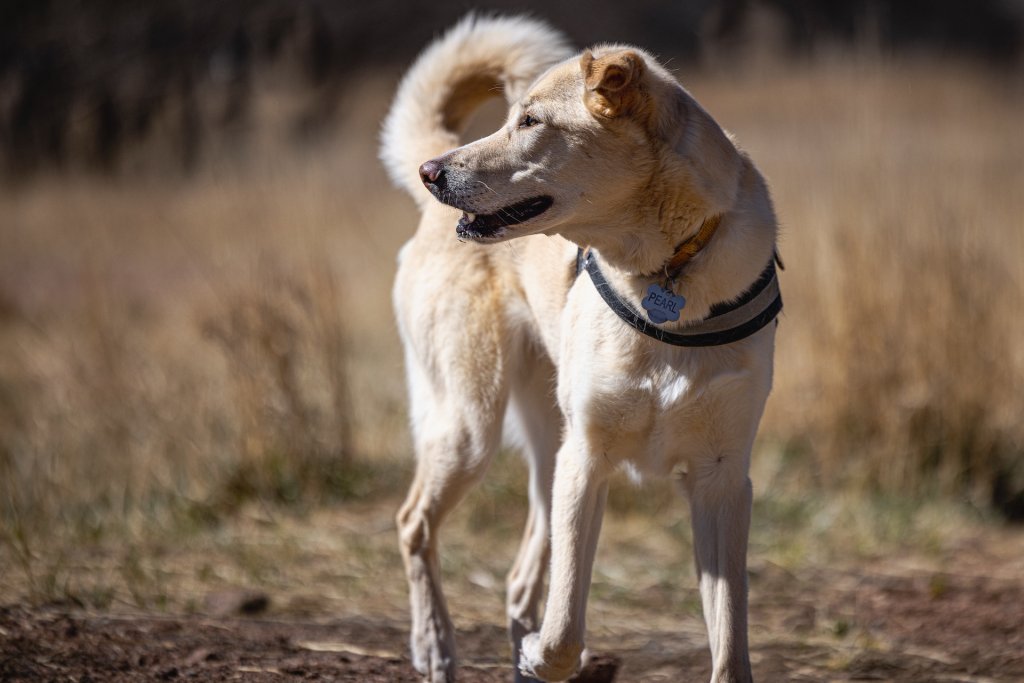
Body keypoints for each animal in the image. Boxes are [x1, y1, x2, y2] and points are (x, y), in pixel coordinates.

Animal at [380, 15, 778, 683]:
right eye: (512, 118)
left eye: (531, 122)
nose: (432, 173)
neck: (664, 277)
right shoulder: (587, 460)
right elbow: (565, 624)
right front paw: (543, 655)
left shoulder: (722, 481)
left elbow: (729, 647)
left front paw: (536, 655)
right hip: (472, 428)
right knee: (415, 525)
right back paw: (435, 645)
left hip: (544, 447)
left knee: (519, 578)